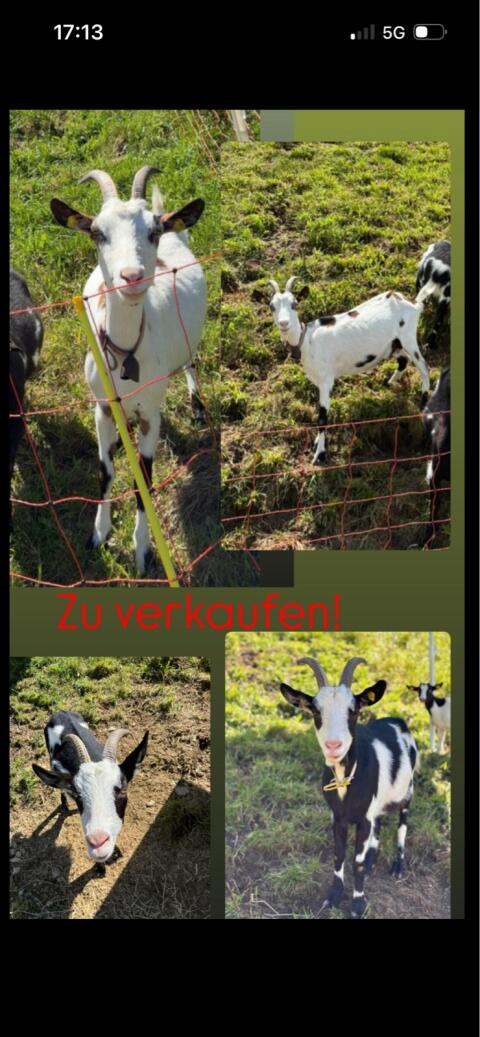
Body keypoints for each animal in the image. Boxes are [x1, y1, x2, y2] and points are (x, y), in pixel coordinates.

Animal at [32, 710, 148, 870]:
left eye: (122, 789)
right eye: (78, 795)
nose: (98, 843)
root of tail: (60, 712)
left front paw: (115, 852)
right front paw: (100, 867)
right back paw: (64, 805)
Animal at [50, 166, 207, 574]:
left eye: (151, 231)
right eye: (97, 232)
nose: (132, 276)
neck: (125, 352)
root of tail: (176, 225)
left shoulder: (152, 414)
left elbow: (145, 479)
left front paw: (142, 550)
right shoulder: (102, 407)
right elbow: (105, 470)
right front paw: (97, 534)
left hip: (190, 336)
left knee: (190, 363)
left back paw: (198, 407)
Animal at [268, 277, 430, 464]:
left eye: (294, 304)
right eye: (271, 306)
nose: (284, 323)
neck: (307, 341)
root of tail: (413, 304)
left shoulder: (326, 381)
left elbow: (322, 418)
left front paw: (320, 454)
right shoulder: (318, 381)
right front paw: (317, 444)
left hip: (408, 338)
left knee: (424, 367)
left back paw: (423, 404)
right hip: (394, 344)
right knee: (404, 360)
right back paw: (389, 384)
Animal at [280, 656, 418, 918]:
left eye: (353, 710)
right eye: (315, 710)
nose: (334, 745)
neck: (346, 781)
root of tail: (397, 720)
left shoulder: (363, 818)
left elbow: (358, 862)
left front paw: (357, 905)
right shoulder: (338, 817)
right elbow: (339, 855)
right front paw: (333, 897)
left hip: (407, 790)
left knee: (403, 821)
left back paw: (398, 865)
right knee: (380, 821)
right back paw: (374, 858)